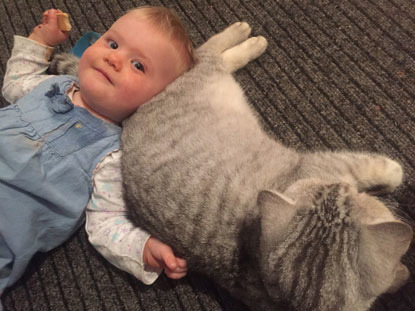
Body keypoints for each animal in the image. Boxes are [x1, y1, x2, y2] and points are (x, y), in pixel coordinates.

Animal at [49, 23, 412, 311]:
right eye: (341, 191)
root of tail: (132, 113)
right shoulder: (324, 166)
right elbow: (369, 166)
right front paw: (395, 172)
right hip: (207, 72)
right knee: (209, 50)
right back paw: (248, 37)